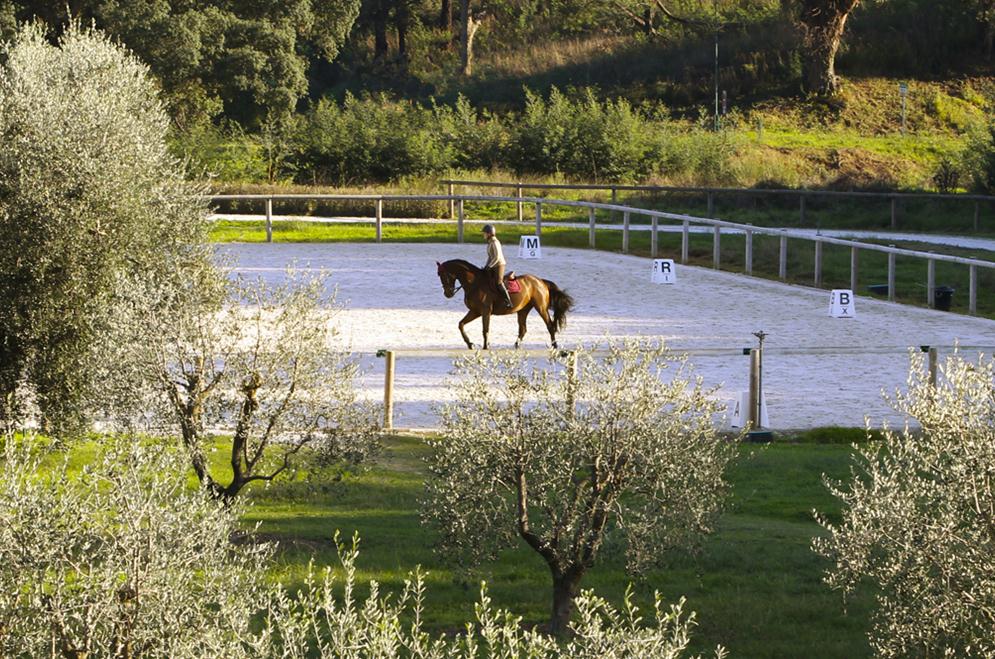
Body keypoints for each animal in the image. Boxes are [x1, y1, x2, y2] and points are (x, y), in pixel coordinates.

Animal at [436, 260, 576, 350]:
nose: (448, 293)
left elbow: (485, 329)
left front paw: (486, 346)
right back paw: (516, 345)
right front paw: (470, 344)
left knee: (550, 325)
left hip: (541, 308)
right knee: (523, 329)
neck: (474, 283)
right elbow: (461, 324)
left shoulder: (485, 311)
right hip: (523, 310)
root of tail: (540, 281)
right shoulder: (475, 311)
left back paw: (554, 345)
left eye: (443, 275)